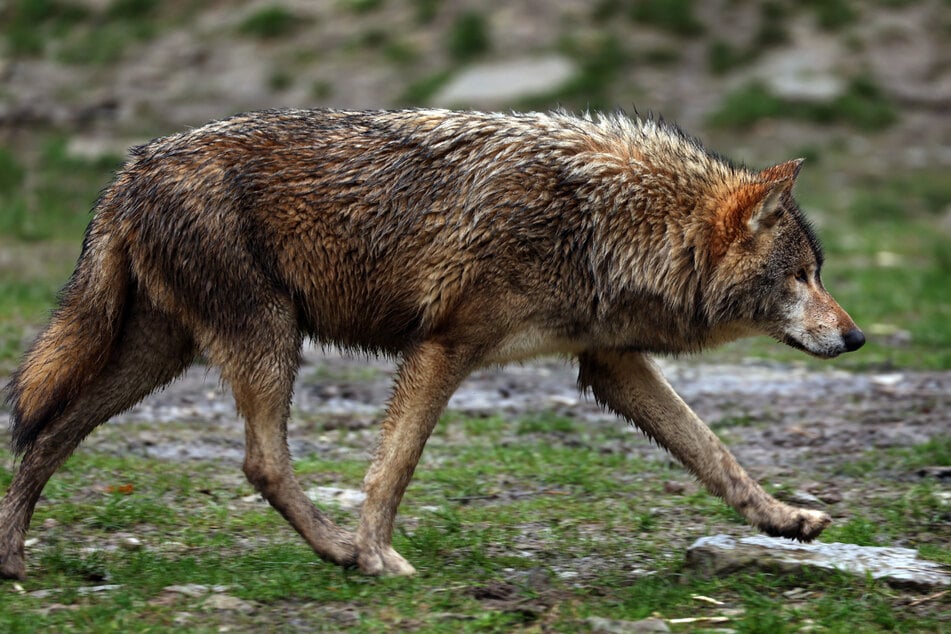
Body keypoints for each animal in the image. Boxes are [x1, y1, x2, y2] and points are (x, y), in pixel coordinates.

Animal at [0, 110, 864, 576]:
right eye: (802, 275)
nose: (856, 337)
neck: (606, 222)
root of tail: (128, 169)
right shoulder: (444, 347)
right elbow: (394, 468)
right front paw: (376, 553)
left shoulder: (608, 364)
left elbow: (715, 454)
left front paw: (784, 520)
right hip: (268, 341)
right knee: (260, 462)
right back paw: (339, 554)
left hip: (163, 355)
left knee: (46, 434)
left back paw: (12, 560)